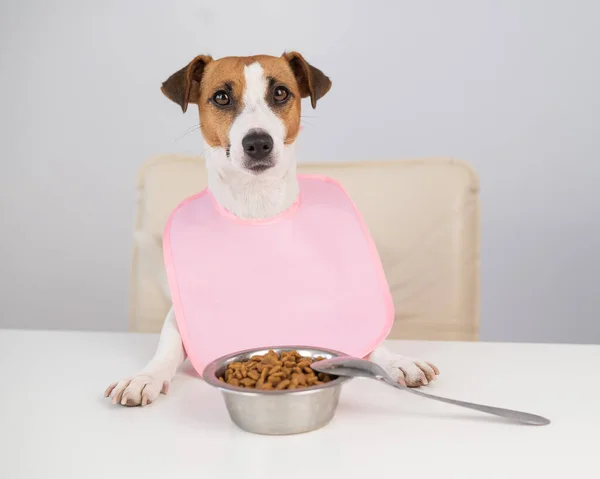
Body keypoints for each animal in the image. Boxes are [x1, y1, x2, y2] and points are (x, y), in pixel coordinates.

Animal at [104, 51, 440, 408]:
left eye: (280, 92)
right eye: (221, 97)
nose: (258, 143)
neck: (258, 205)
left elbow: (370, 335)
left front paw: (397, 361)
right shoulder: (178, 318)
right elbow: (167, 347)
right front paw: (145, 378)